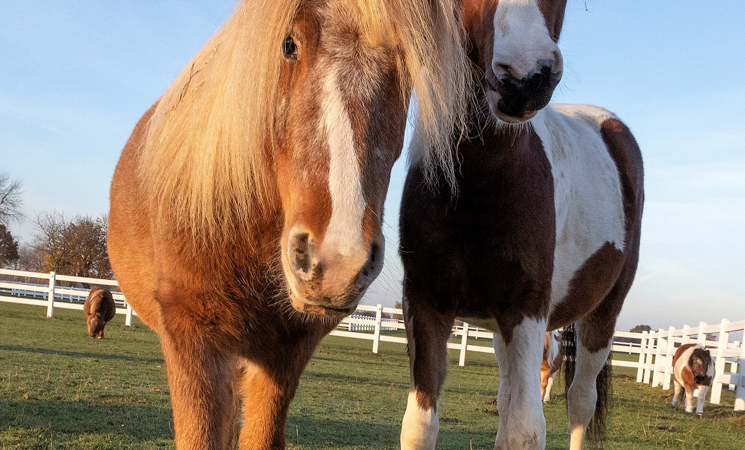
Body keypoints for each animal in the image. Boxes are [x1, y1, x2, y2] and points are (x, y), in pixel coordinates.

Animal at [398, 0, 644, 450]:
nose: (525, 77)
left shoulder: (527, 310)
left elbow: (525, 428)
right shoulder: (424, 303)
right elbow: (420, 425)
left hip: (602, 315)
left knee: (580, 402)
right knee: (507, 395)